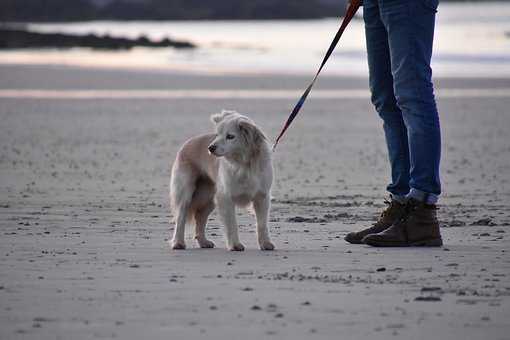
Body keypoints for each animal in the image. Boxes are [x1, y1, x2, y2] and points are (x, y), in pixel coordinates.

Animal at [169, 110, 274, 251]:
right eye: (217, 135)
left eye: (230, 136)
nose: (210, 148)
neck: (243, 164)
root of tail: (188, 143)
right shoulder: (226, 198)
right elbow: (232, 224)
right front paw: (235, 245)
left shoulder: (262, 197)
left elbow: (262, 224)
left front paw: (265, 243)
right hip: (186, 194)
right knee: (180, 219)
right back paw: (178, 243)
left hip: (209, 197)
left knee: (200, 217)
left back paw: (203, 242)